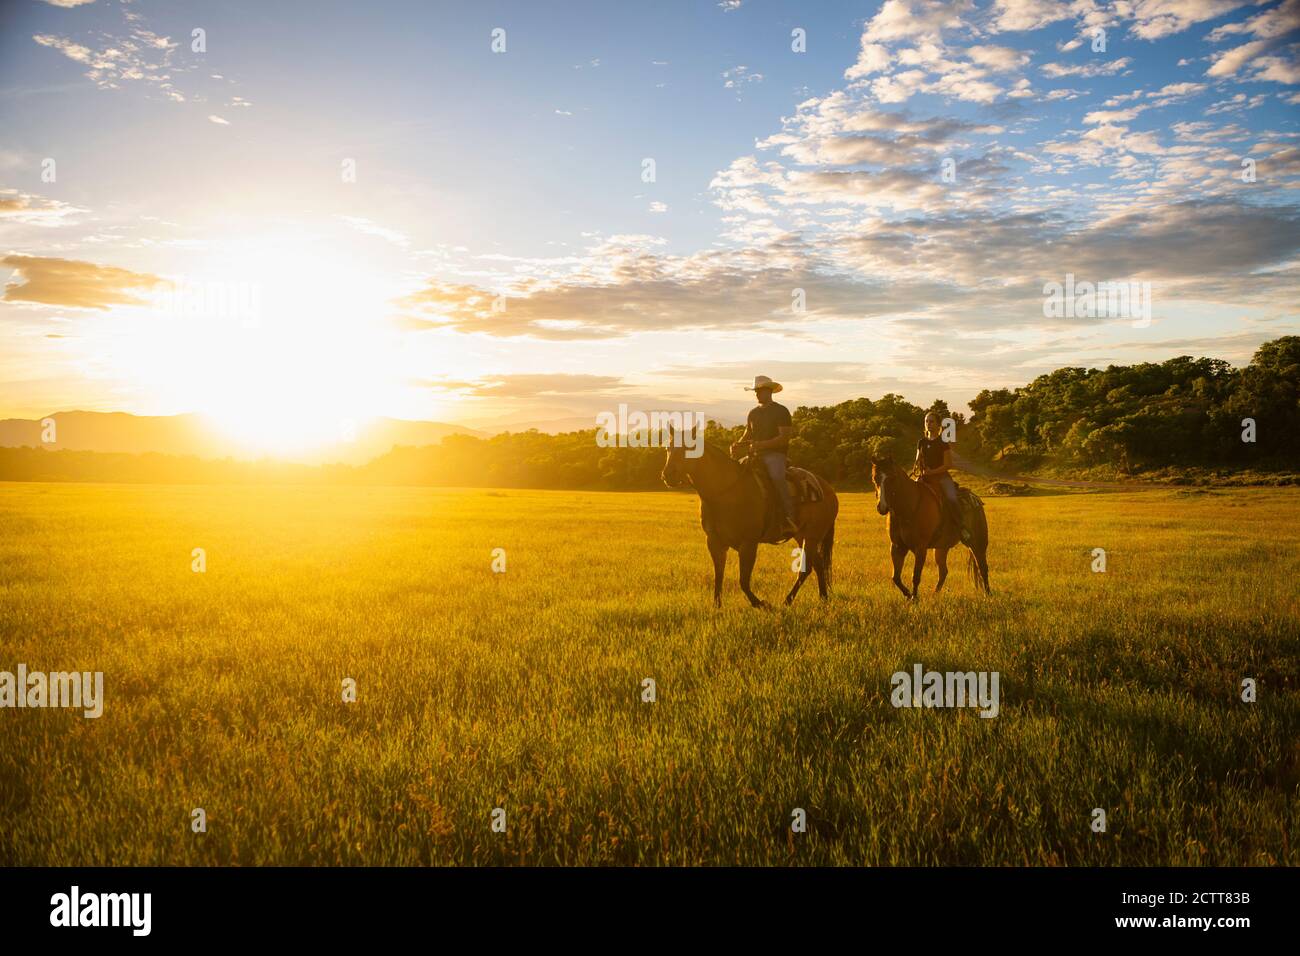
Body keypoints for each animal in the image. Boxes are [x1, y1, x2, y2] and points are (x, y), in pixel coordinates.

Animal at [868, 455, 987, 598]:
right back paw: (934, 594)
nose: (882, 507)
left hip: (978, 543)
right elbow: (895, 577)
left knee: (983, 567)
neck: (909, 507)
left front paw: (914, 598)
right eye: (874, 478)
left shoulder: (920, 548)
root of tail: (975, 499)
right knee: (943, 571)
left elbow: (915, 576)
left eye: (892, 477)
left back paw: (988, 595)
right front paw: (908, 594)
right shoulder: (897, 547)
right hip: (941, 548)